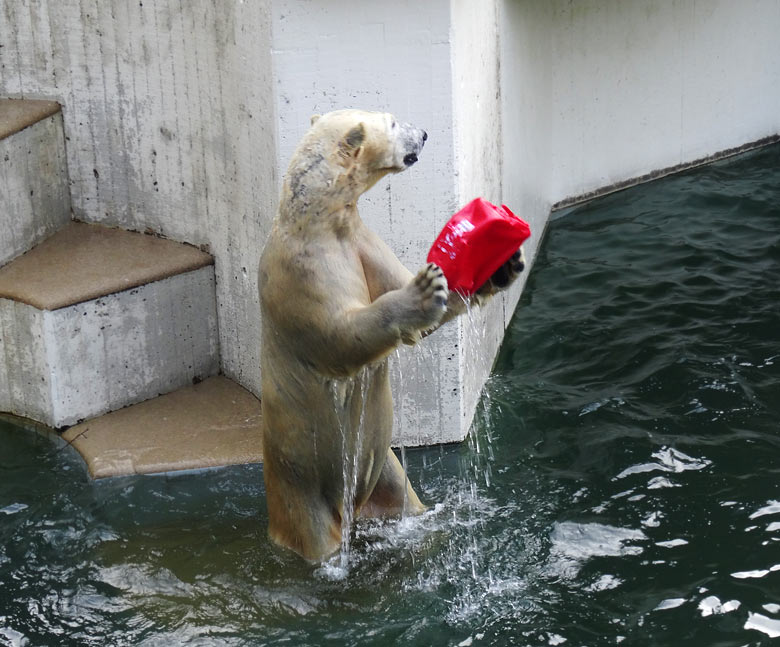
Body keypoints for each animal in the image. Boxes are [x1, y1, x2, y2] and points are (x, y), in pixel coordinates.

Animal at [258, 109, 524, 560]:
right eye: (395, 122)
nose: (426, 133)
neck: (318, 219)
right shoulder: (305, 271)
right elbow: (337, 336)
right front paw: (421, 290)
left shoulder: (362, 241)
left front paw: (501, 264)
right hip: (299, 485)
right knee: (314, 535)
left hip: (384, 467)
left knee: (402, 498)